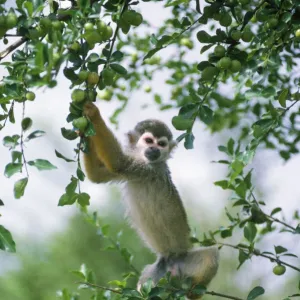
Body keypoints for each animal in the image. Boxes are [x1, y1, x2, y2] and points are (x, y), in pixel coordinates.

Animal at [83, 102, 219, 296]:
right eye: (149, 141)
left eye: (161, 144)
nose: (155, 149)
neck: (144, 158)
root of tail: (171, 262)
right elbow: (97, 174)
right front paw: (82, 132)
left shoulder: (149, 169)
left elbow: (118, 163)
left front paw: (93, 113)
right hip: (155, 276)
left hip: (186, 262)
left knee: (212, 256)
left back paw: (193, 292)